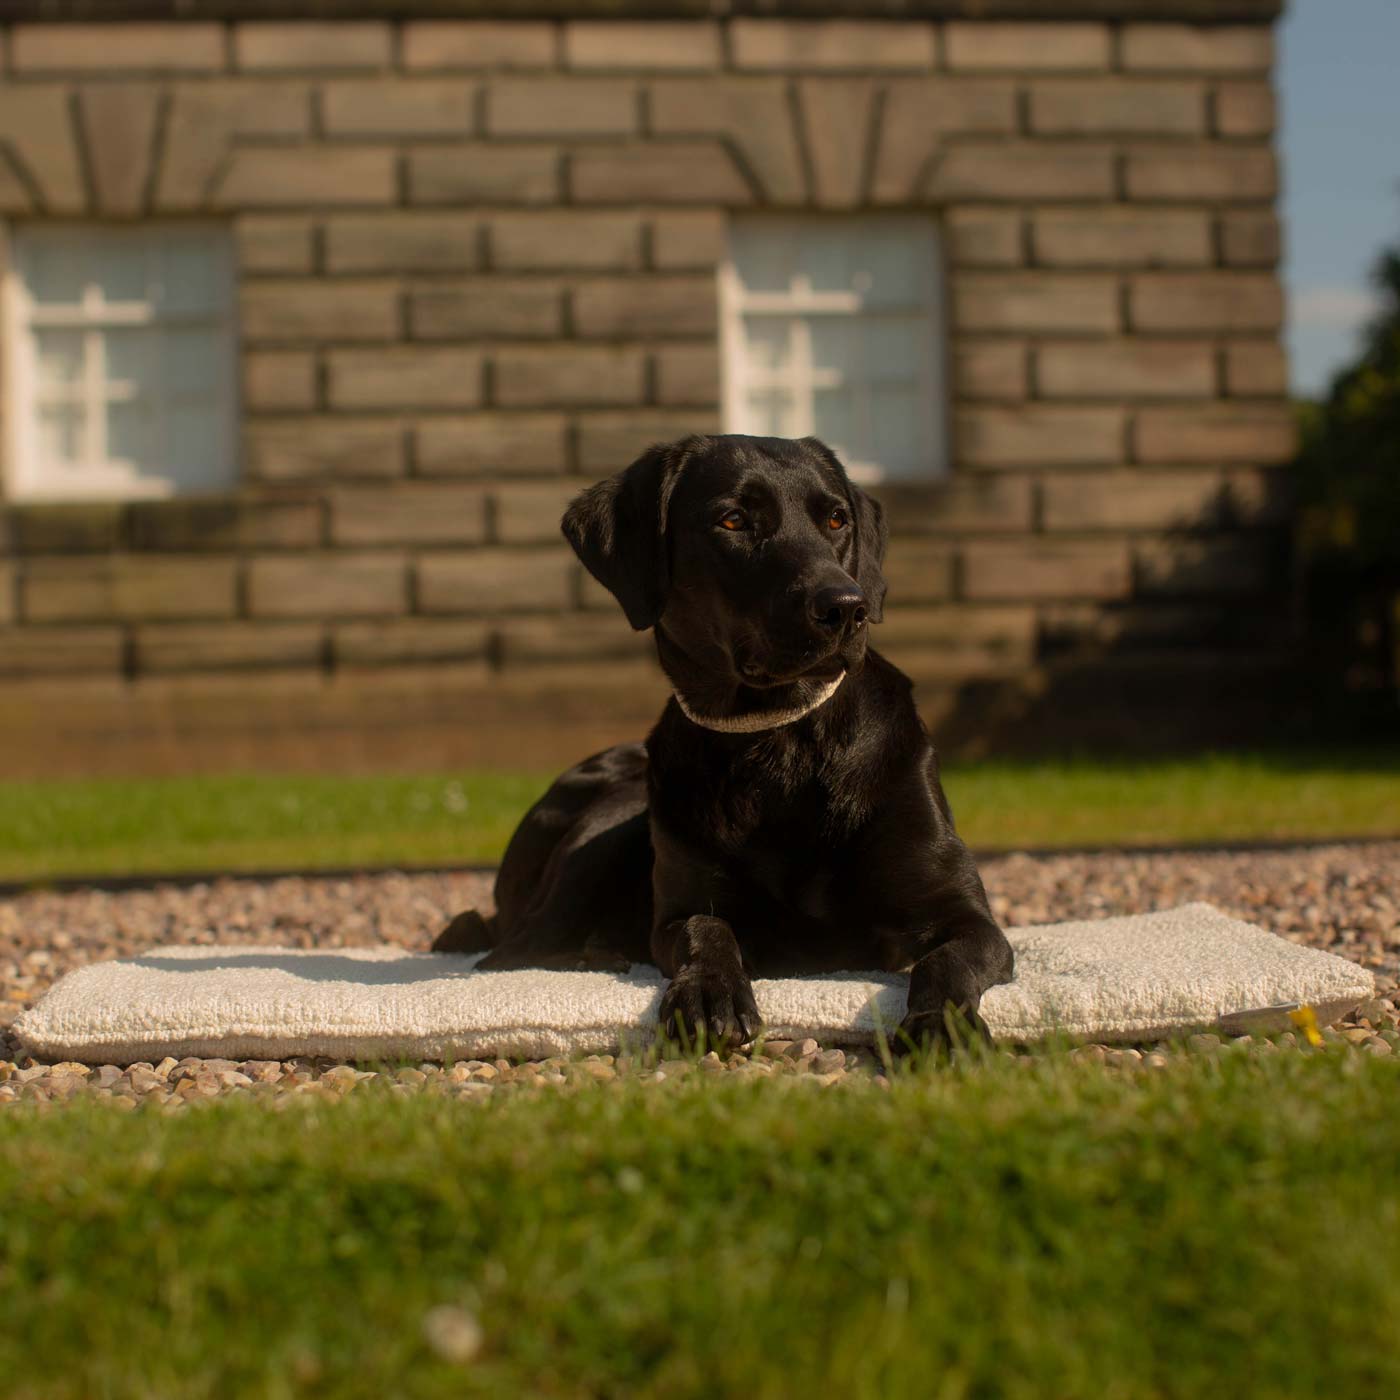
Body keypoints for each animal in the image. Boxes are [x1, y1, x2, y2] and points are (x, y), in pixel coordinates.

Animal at [431, 434, 1013, 1052]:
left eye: (836, 519)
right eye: (734, 520)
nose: (847, 607)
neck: (779, 741)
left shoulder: (968, 918)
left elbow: (946, 961)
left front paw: (940, 1025)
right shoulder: (678, 910)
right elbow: (705, 928)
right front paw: (710, 994)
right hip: (611, 822)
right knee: (509, 952)